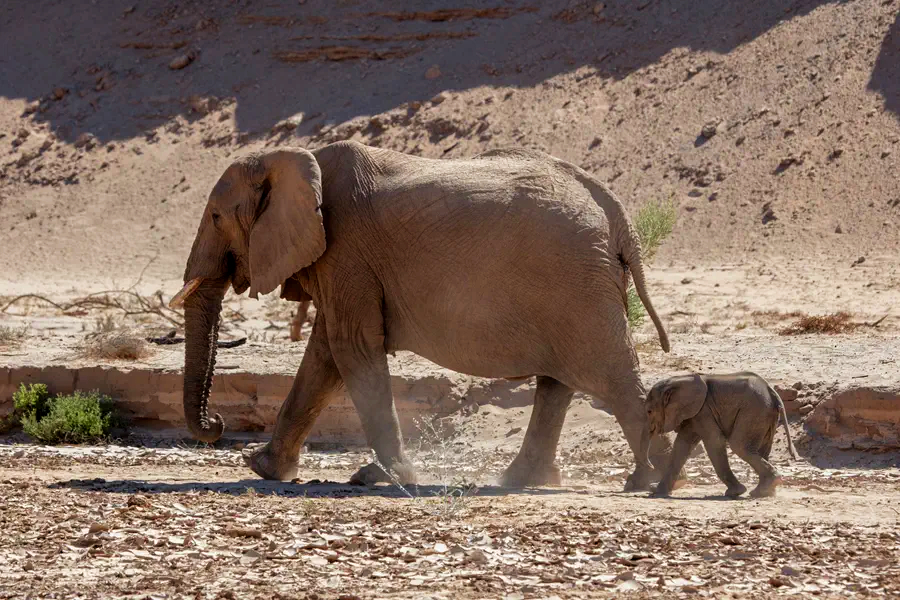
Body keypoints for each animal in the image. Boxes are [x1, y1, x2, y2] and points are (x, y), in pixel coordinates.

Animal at [169, 140, 675, 490]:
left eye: (215, 217)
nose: (217, 424)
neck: (293, 157)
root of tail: (615, 212)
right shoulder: (345, 263)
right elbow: (325, 355)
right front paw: (262, 468)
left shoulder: (347, 252)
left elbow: (351, 348)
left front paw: (381, 478)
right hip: (575, 286)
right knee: (558, 383)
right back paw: (521, 482)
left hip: (578, 283)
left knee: (611, 377)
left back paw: (652, 481)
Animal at [645, 372, 798, 498]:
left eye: (649, 411)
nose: (650, 466)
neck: (676, 380)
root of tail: (772, 391)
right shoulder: (695, 414)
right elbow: (682, 445)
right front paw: (656, 491)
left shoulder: (704, 411)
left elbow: (714, 441)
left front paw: (735, 492)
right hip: (766, 415)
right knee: (761, 450)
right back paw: (764, 492)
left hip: (754, 411)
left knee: (739, 446)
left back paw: (763, 489)